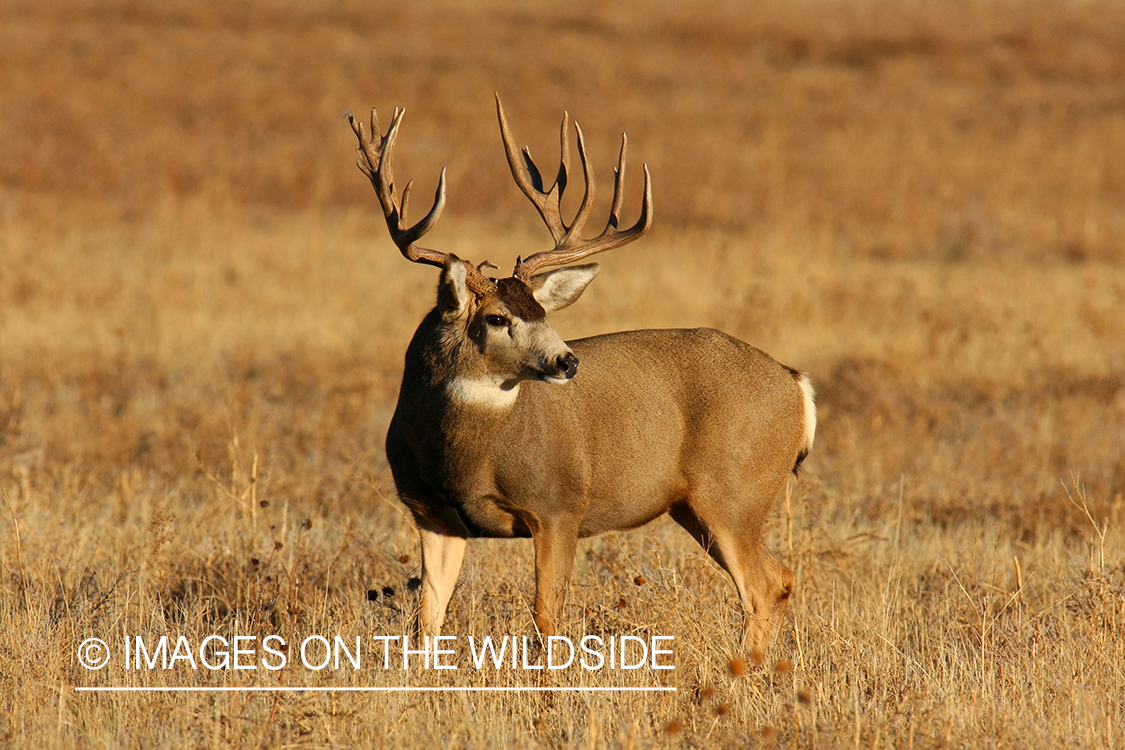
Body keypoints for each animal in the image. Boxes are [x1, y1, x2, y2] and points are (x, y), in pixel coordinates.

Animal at [346, 96, 814, 652]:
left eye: (543, 313)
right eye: (497, 318)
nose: (567, 360)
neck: (462, 459)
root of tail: (796, 382)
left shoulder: (559, 504)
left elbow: (547, 618)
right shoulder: (432, 515)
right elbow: (427, 620)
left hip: (735, 492)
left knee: (765, 584)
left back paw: (742, 670)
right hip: (697, 505)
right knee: (779, 578)